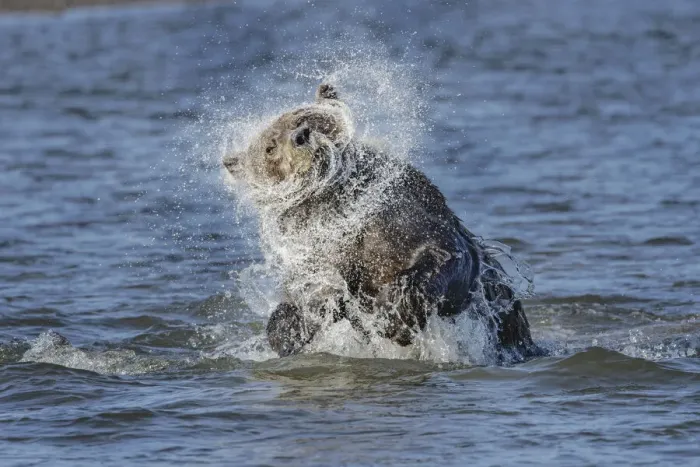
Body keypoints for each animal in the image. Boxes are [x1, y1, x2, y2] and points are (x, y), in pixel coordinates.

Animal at [223, 83, 538, 361]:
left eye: (308, 120)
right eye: (270, 146)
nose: (301, 136)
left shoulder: (400, 219)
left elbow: (442, 256)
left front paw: (395, 316)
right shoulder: (318, 248)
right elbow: (304, 296)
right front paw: (288, 330)